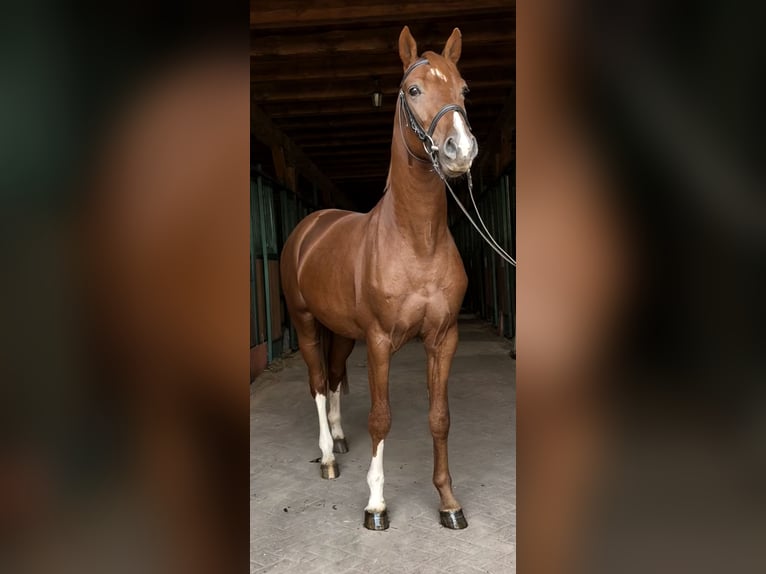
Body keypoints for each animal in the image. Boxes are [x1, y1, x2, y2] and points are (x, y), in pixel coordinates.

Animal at [280, 25, 477, 531]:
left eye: (463, 89)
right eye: (414, 90)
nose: (460, 150)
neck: (416, 240)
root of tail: (310, 227)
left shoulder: (443, 338)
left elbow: (440, 417)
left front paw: (449, 502)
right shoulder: (380, 342)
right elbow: (380, 418)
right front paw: (375, 505)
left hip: (341, 333)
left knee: (332, 378)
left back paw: (338, 437)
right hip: (307, 324)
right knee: (316, 381)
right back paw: (329, 457)